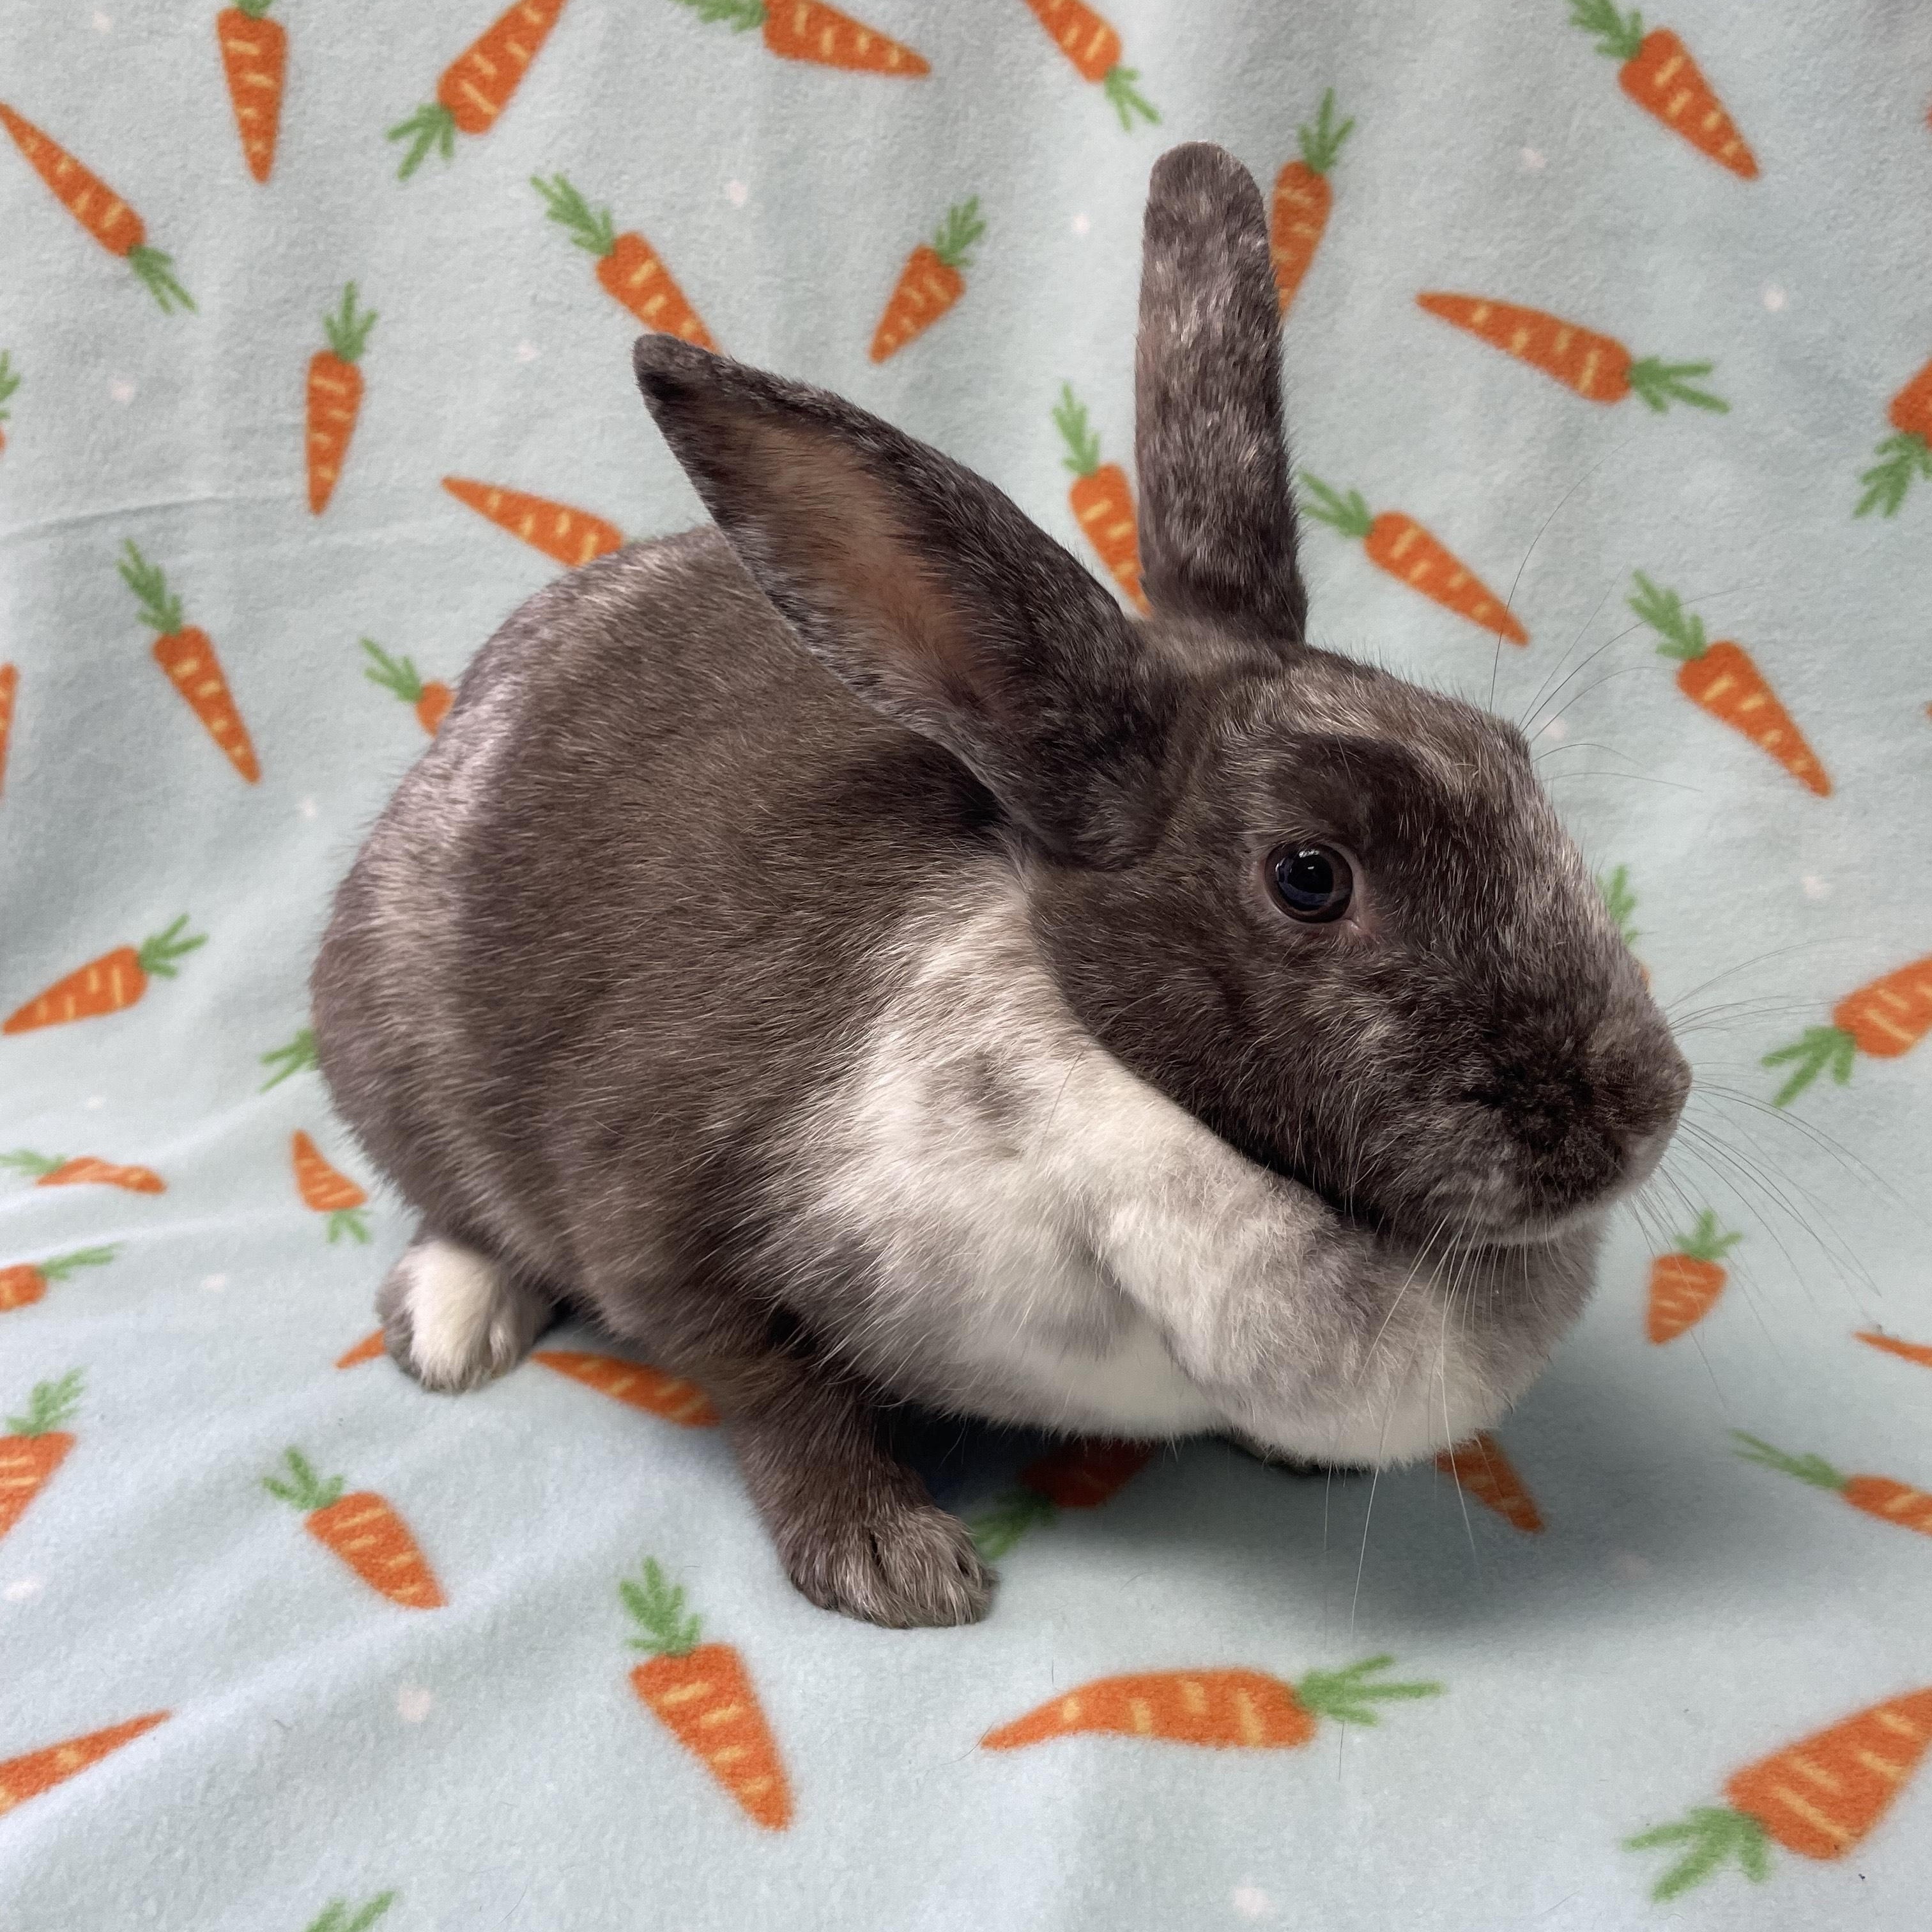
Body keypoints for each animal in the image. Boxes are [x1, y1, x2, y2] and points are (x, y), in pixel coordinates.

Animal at [311, 142, 1690, 1629]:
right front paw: (891, 1563)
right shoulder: (665, 1227)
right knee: (453, 1200)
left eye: (1508, 755)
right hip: (395, 1049)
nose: (1645, 1110)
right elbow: (779, 1399)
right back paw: (453, 1325)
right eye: (1309, 876)